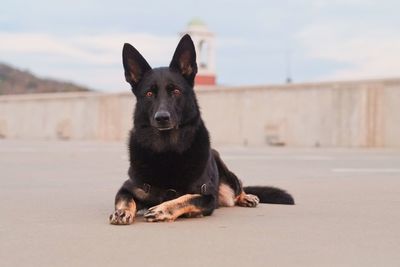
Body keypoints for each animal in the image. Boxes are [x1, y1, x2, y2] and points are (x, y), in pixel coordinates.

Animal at [109, 34, 294, 225]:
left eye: (176, 91)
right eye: (149, 94)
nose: (162, 117)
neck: (167, 150)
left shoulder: (207, 196)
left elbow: (187, 198)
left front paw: (162, 209)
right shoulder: (127, 188)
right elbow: (126, 199)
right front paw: (122, 211)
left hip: (223, 167)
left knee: (237, 187)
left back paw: (247, 197)